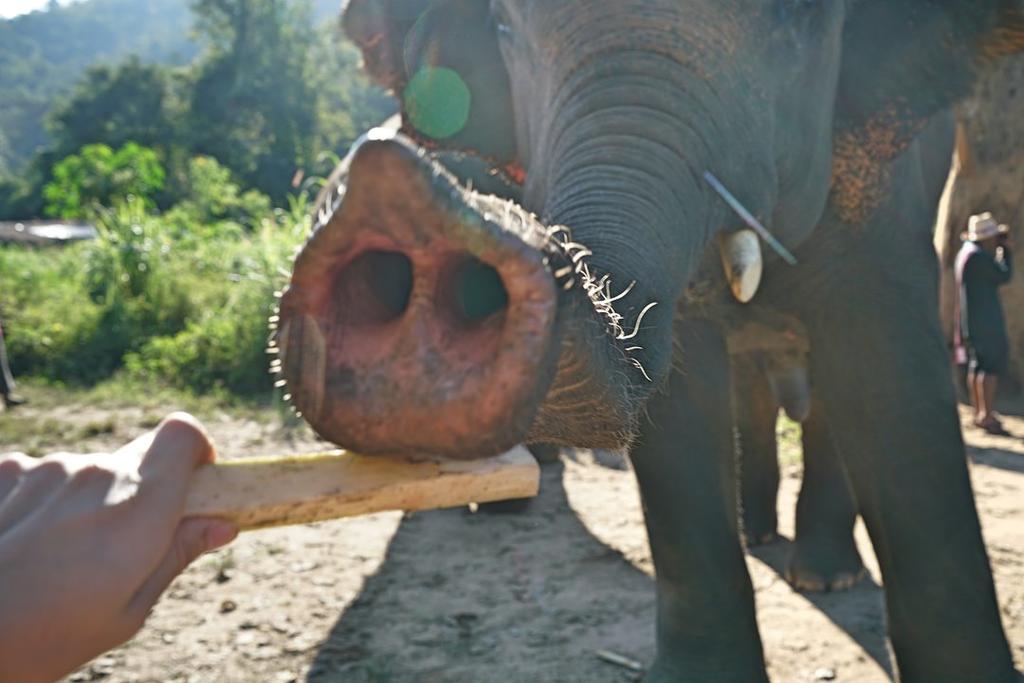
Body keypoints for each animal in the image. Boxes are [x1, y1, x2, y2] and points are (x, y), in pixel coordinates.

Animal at [274, 2, 1024, 680]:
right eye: (504, 24)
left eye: (797, 19)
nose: (401, 205)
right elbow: (680, 406)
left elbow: (888, 374)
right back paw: (761, 537)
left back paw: (824, 577)